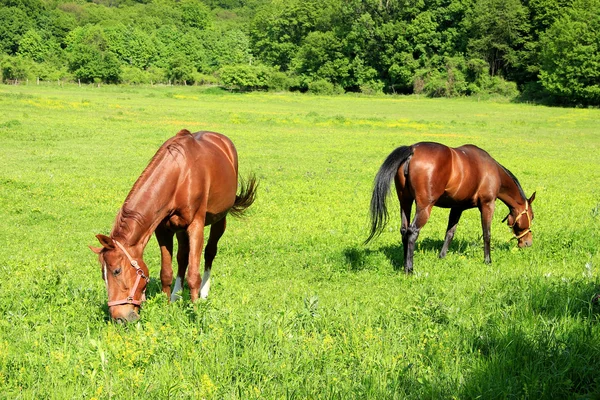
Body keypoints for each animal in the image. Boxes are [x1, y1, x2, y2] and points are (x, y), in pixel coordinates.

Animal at [91, 130, 255, 324]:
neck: (180, 175)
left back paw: (204, 293)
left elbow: (193, 275)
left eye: (116, 271)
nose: (119, 318)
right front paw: (167, 307)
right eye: (103, 275)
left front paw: (196, 313)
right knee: (182, 256)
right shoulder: (163, 230)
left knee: (210, 252)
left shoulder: (195, 226)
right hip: (180, 229)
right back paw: (177, 295)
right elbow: (166, 272)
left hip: (219, 219)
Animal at [364, 142, 536, 274]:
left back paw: (404, 264)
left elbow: (450, 233)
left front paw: (442, 256)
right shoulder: (487, 205)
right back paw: (410, 269)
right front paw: (488, 260)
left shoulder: (457, 208)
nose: (528, 243)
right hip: (424, 207)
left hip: (405, 202)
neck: (492, 171)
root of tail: (412, 149)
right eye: (531, 216)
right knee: (412, 232)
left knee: (404, 230)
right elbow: (487, 234)